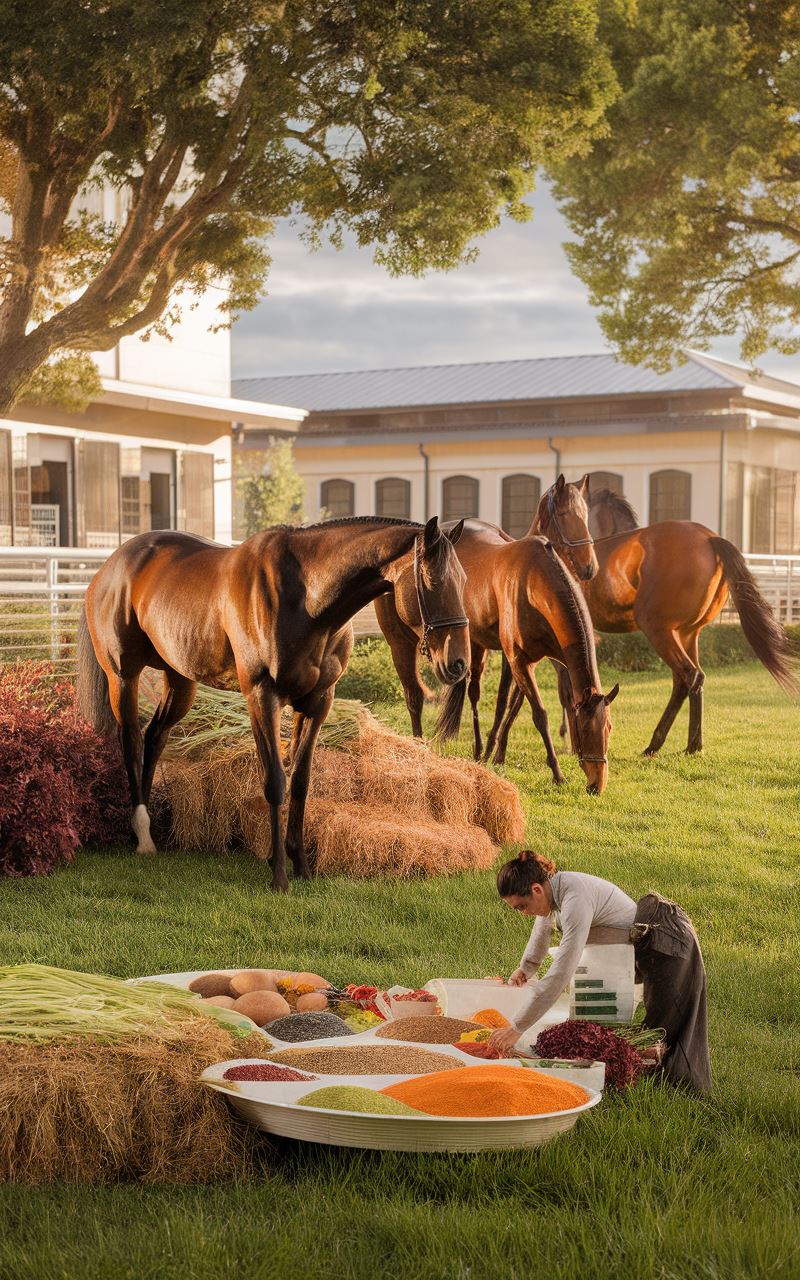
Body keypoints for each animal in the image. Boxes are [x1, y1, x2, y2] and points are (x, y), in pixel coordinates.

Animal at [76, 512, 468, 890]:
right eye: (433, 581)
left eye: (463, 579)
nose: (458, 664)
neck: (308, 600)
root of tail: (109, 568)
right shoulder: (263, 698)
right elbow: (276, 781)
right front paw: (279, 873)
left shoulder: (316, 703)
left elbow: (301, 782)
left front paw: (302, 865)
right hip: (122, 677)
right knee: (130, 740)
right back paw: (142, 835)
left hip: (180, 681)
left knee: (155, 738)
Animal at [373, 478, 616, 788]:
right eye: (585, 730)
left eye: (608, 728)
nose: (597, 785)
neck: (535, 583)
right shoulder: (517, 660)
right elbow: (538, 713)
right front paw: (556, 770)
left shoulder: (536, 660)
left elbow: (512, 704)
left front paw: (497, 752)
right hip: (402, 643)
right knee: (426, 694)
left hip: (474, 646)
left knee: (473, 691)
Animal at [486, 483, 793, 752]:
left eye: (583, 515)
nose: (588, 565)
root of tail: (708, 537)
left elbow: (563, 687)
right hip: (688, 634)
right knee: (692, 680)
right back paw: (692, 744)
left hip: (659, 630)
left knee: (687, 676)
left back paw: (656, 742)